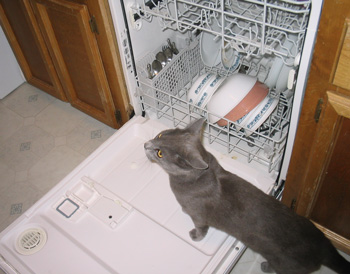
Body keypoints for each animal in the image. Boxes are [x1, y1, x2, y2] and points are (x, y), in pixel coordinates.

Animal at [144, 118, 348, 274]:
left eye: (160, 153)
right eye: (160, 135)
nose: (146, 144)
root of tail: (323, 244)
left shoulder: (198, 214)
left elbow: (201, 226)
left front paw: (195, 235)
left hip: (287, 265)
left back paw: (266, 266)